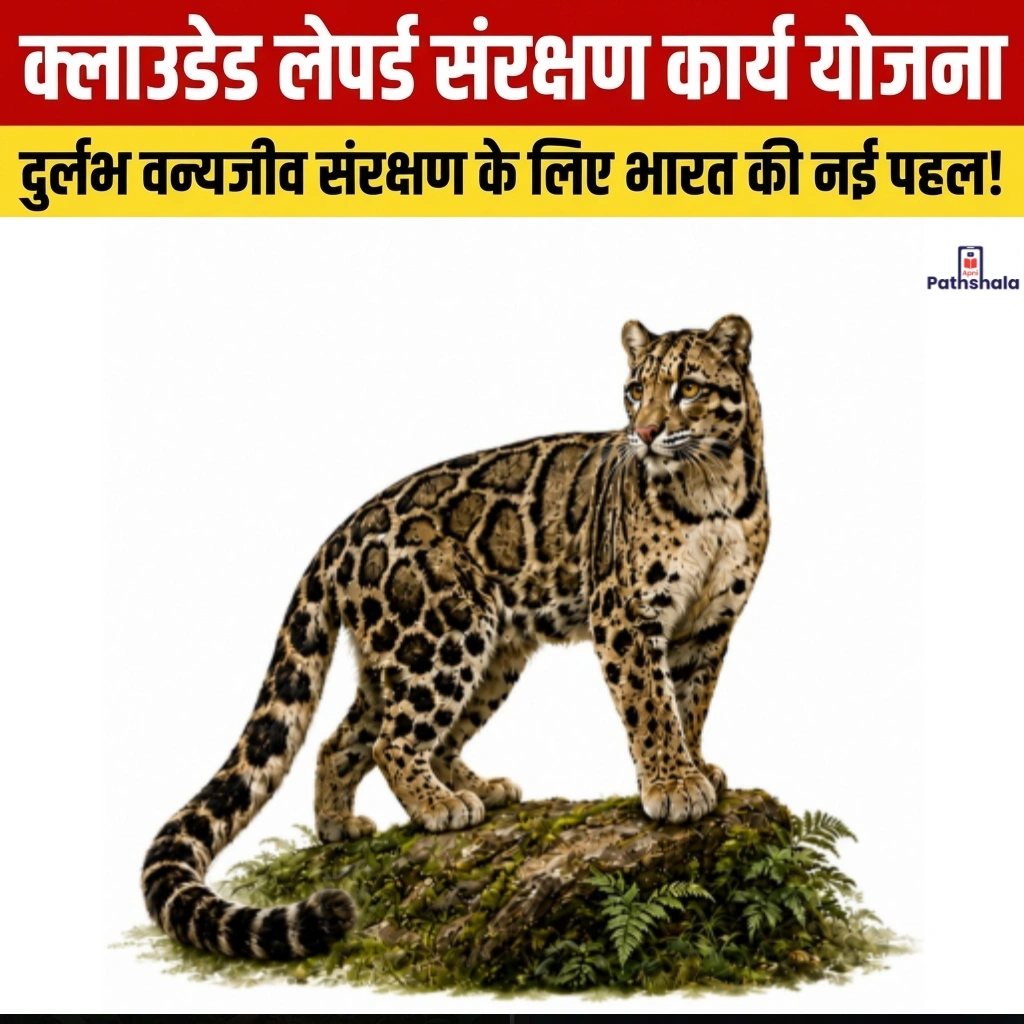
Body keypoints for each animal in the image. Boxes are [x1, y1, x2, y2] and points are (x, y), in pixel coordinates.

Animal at [141, 314, 770, 960]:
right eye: (634, 391)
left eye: (687, 388)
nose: (643, 432)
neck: (712, 490)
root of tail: (340, 533)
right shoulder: (624, 612)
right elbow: (651, 706)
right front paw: (672, 786)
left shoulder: (709, 625)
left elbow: (690, 704)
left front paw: (697, 768)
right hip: (441, 634)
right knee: (391, 742)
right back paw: (440, 806)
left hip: (469, 655)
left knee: (350, 740)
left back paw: (359, 821)